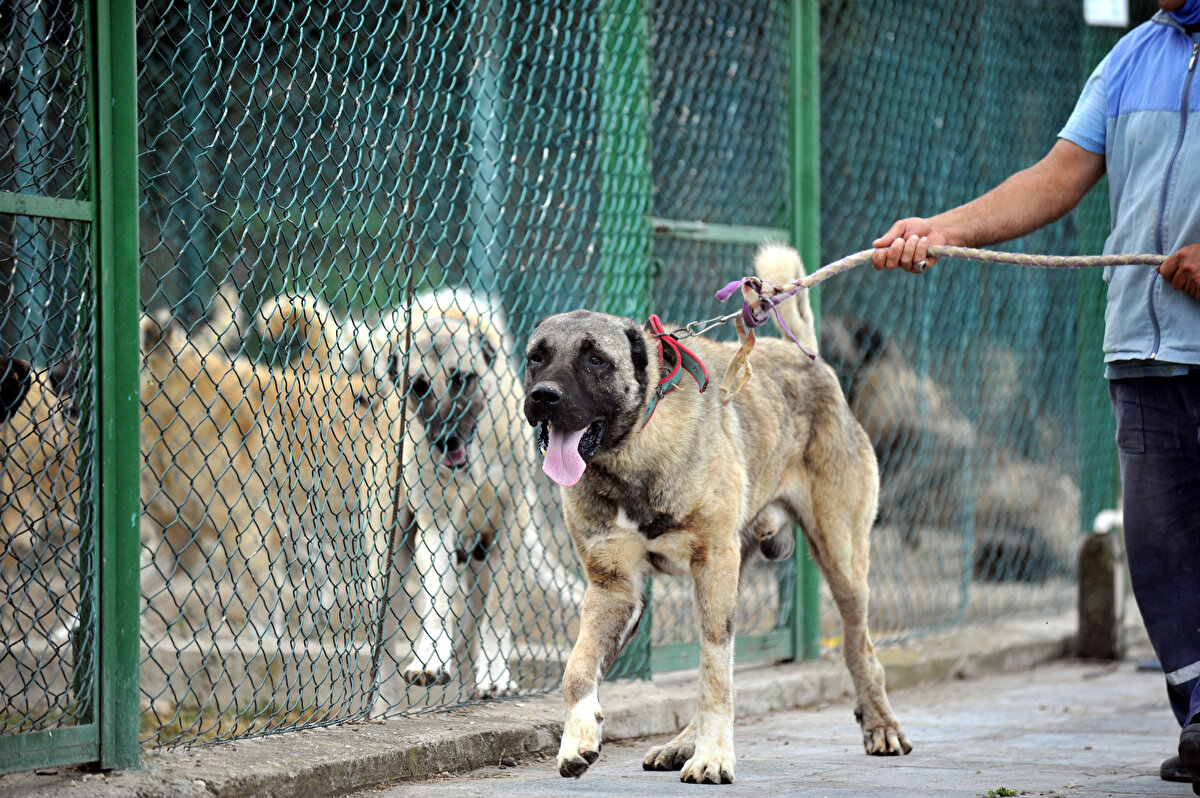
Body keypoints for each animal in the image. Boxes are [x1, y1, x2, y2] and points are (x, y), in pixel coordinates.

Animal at [523, 244, 911, 784]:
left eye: (596, 360)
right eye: (536, 357)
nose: (542, 397)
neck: (631, 454)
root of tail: (803, 357)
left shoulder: (711, 567)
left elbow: (713, 676)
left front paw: (713, 756)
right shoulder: (613, 588)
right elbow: (577, 668)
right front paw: (579, 736)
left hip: (841, 563)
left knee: (860, 650)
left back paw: (881, 726)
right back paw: (681, 745)